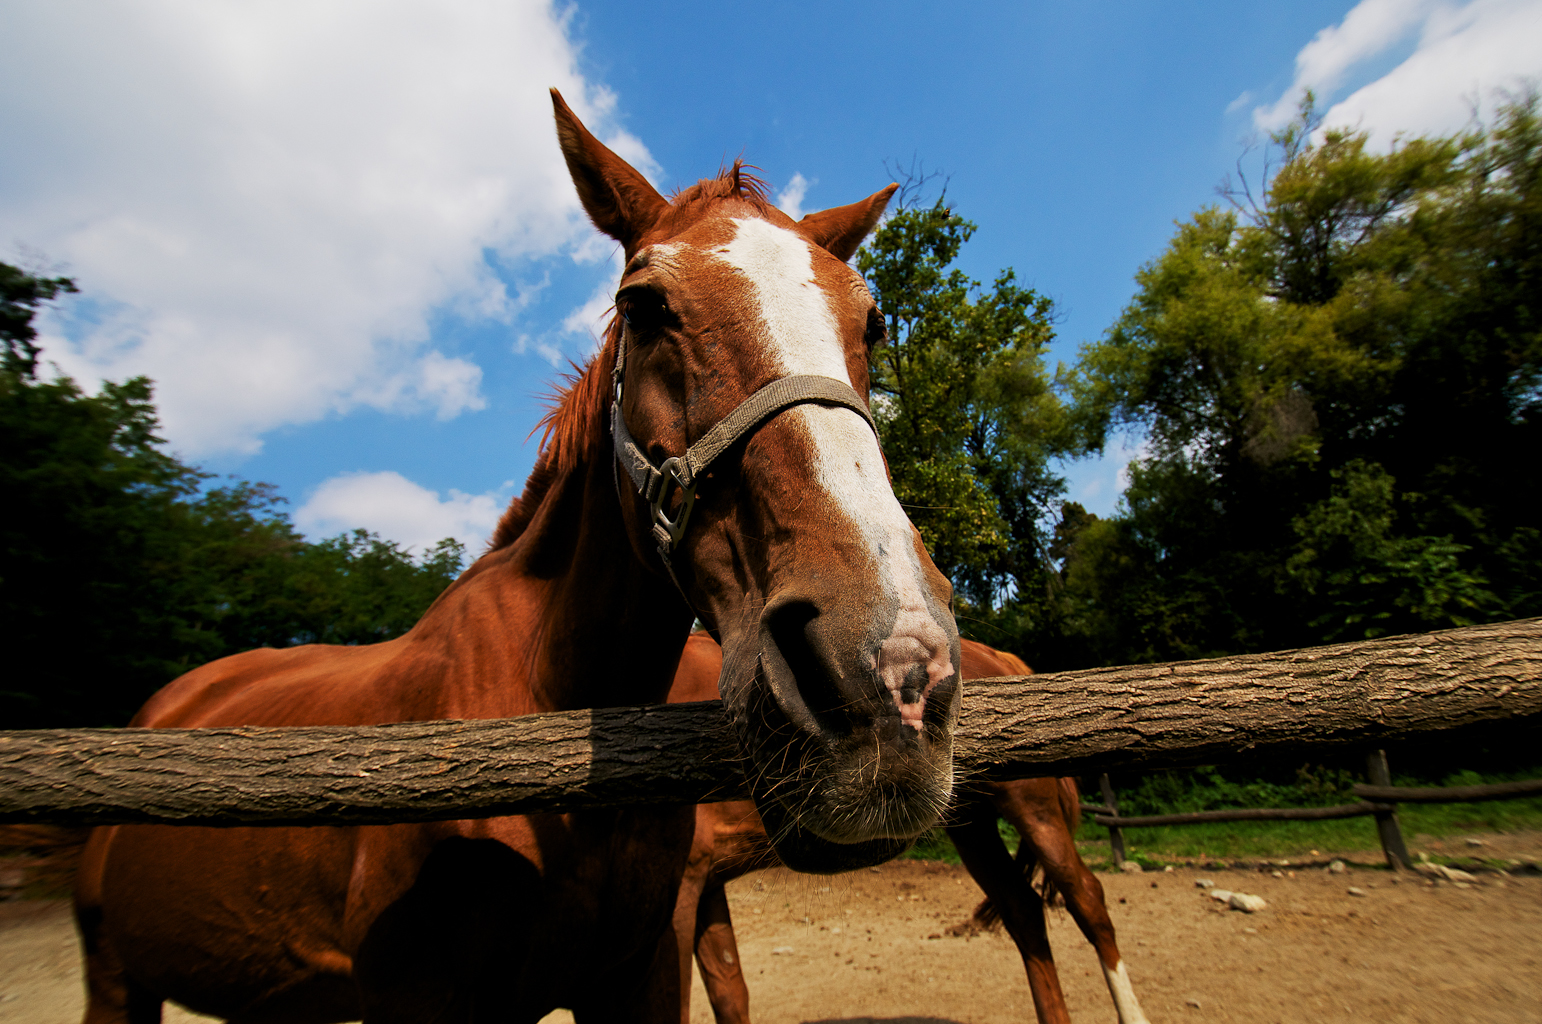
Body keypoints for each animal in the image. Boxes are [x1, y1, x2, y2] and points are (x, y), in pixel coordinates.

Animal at [73, 90, 962, 1024]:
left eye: (872, 322)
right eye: (643, 304)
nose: (890, 672)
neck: (547, 704)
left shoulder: (641, 972)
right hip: (117, 978)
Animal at [666, 635, 1151, 1024]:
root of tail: (998, 657)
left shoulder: (684, 889)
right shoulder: (705, 885)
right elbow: (730, 992)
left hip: (1033, 809)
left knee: (1087, 898)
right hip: (973, 826)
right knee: (1024, 911)